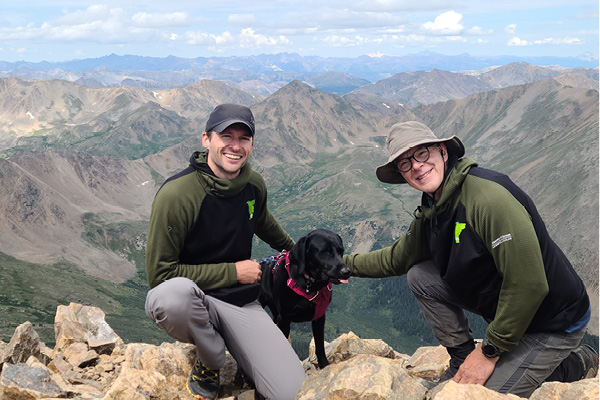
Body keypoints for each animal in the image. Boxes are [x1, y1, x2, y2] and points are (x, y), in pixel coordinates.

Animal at [258, 228, 352, 368]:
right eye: (325, 251)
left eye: (341, 251)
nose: (346, 271)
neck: (309, 284)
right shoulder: (284, 319)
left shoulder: (319, 317)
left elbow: (319, 344)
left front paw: (324, 365)